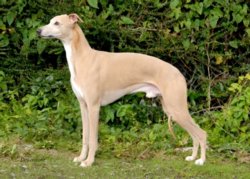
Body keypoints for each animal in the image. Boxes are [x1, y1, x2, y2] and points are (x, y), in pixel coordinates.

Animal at [37, 13, 207, 167]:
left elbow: (92, 138)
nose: (38, 31)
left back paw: (201, 160)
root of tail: (179, 74)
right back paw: (192, 157)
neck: (83, 58)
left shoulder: (94, 106)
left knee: (201, 133)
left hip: (177, 108)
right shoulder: (83, 105)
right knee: (194, 134)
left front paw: (89, 162)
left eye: (57, 23)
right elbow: (85, 136)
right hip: (171, 109)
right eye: (50, 21)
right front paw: (81, 158)